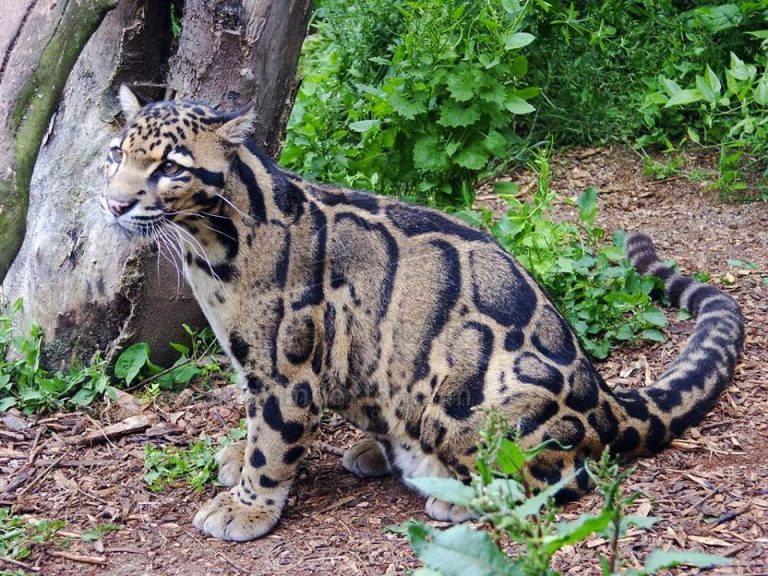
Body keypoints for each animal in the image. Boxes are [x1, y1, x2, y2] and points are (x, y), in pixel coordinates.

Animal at [100, 85, 744, 542]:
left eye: (171, 167)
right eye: (117, 155)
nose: (113, 202)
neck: (208, 252)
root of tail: (607, 398)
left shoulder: (289, 369)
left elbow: (273, 441)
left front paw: (249, 505)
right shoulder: (252, 363)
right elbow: (252, 418)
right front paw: (237, 456)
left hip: (469, 405)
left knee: (563, 475)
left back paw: (458, 493)